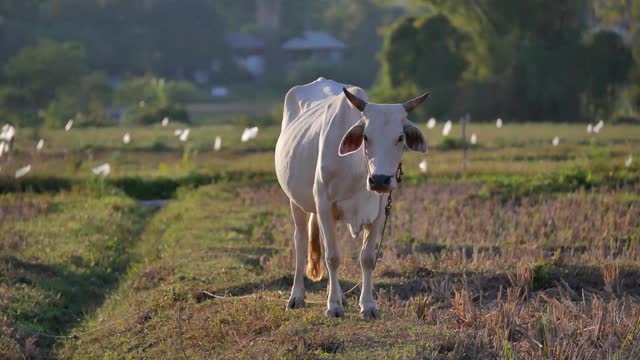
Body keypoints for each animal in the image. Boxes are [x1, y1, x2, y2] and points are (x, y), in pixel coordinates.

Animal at [274, 78, 428, 318]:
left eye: (400, 137)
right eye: (365, 136)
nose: (380, 180)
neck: (357, 172)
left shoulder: (379, 212)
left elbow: (367, 258)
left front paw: (368, 305)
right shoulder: (324, 205)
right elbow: (333, 257)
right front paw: (333, 306)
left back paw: (338, 294)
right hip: (296, 202)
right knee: (301, 242)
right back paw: (297, 296)